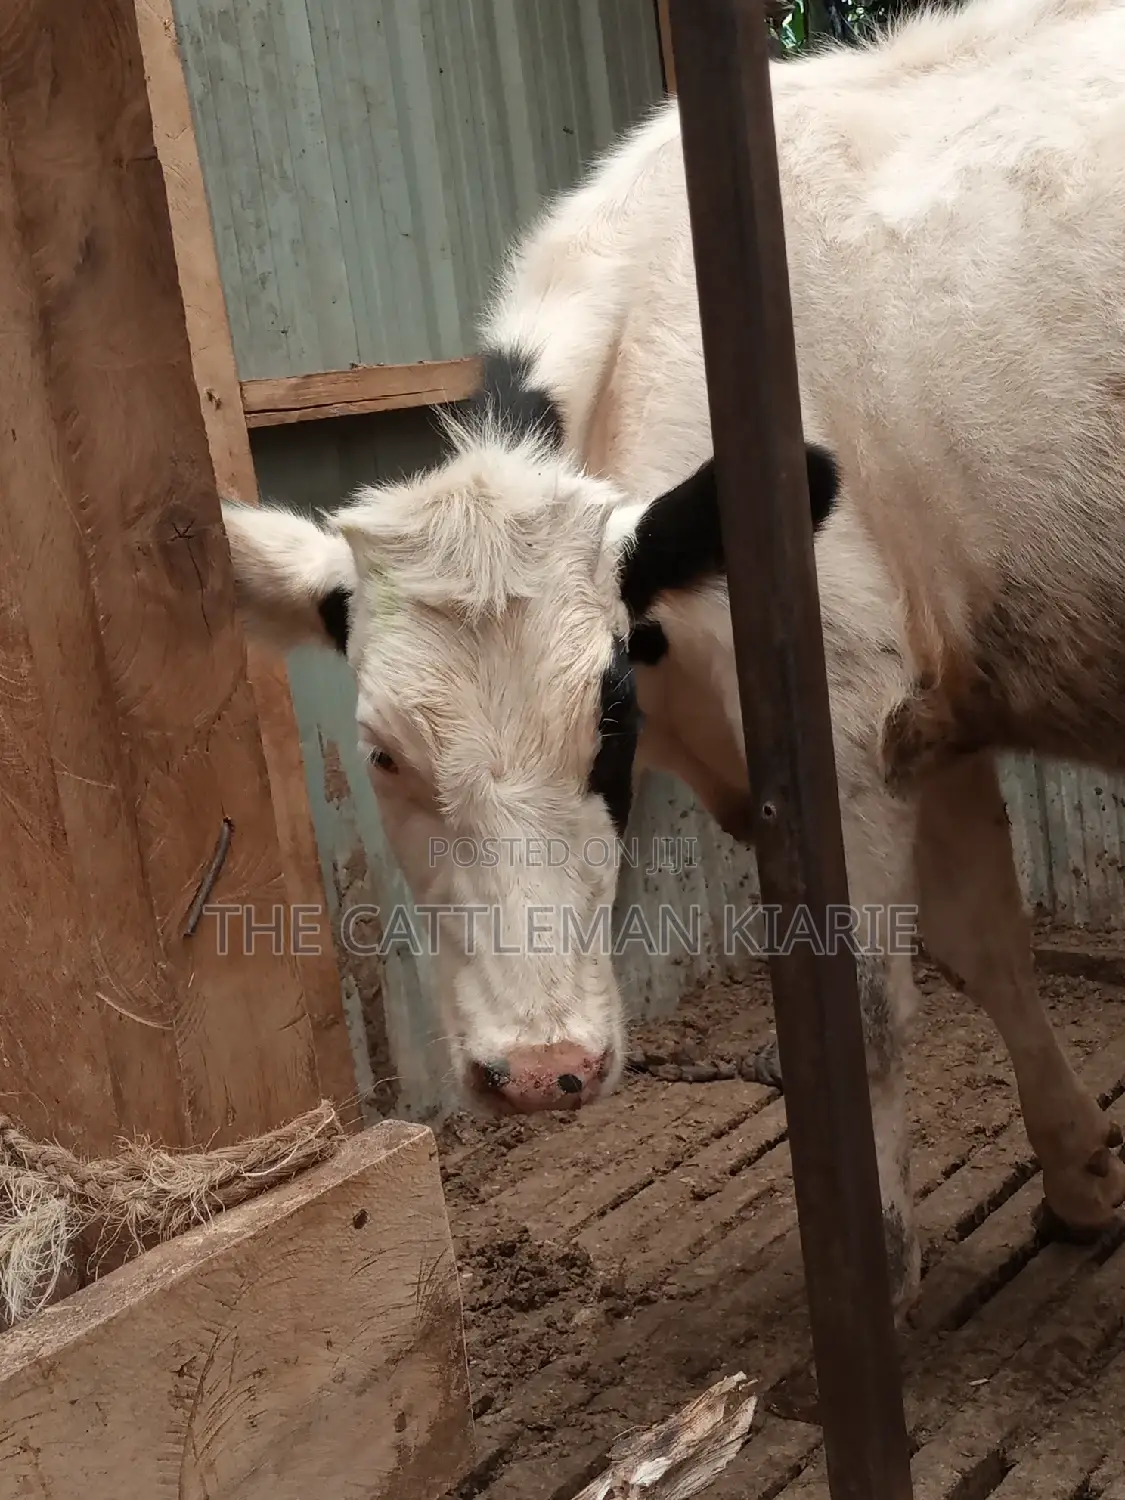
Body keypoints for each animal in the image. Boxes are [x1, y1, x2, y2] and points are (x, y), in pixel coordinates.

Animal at [220, 0, 1125, 1316]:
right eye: (380, 753)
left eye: (605, 723)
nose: (539, 1068)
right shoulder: (926, 708)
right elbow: (987, 946)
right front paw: (1081, 1182)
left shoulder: (845, 713)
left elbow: (861, 1002)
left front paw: (875, 1271)